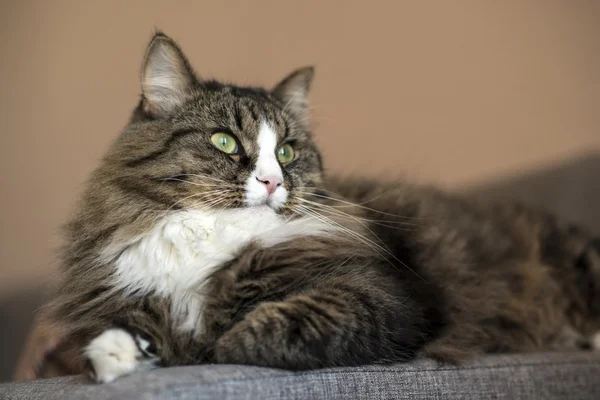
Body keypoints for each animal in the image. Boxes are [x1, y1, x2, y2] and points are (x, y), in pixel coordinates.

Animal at [45, 30, 600, 382]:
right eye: (225, 142)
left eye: (288, 152)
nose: (272, 181)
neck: (209, 239)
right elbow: (116, 334)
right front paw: (118, 356)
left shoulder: (386, 296)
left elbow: (269, 328)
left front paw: (207, 347)